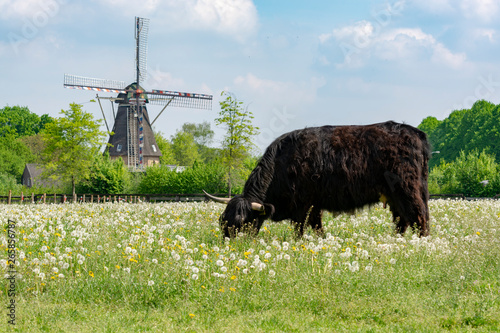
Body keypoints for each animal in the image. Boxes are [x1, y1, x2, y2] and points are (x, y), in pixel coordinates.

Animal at [204, 120, 430, 237]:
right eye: (223, 221)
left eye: (243, 223)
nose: (229, 246)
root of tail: (415, 132)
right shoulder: (315, 204)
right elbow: (316, 226)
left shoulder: (303, 203)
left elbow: (299, 227)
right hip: (395, 195)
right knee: (402, 219)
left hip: (407, 189)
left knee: (419, 216)